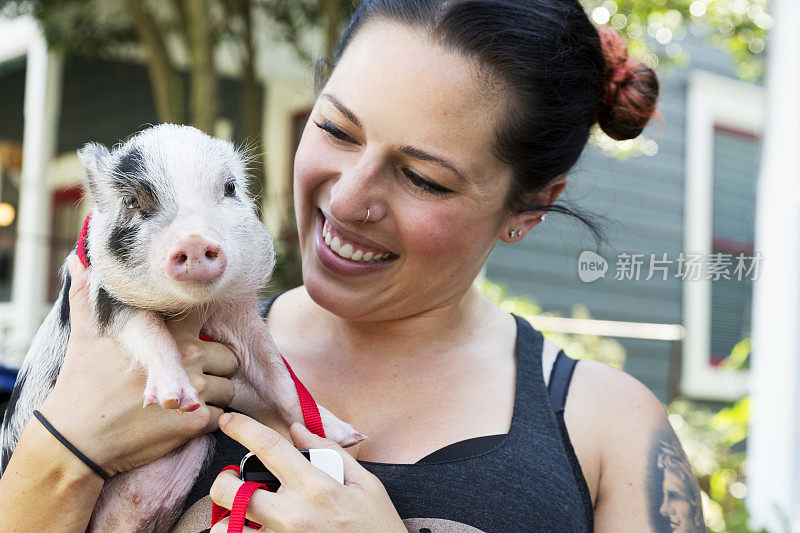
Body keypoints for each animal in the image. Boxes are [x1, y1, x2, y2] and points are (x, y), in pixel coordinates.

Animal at [0, 123, 362, 532]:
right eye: (130, 201)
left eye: (230, 188)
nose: (193, 241)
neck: (191, 307)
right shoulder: (106, 296)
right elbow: (149, 331)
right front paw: (176, 400)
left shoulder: (240, 315)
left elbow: (277, 373)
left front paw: (346, 437)